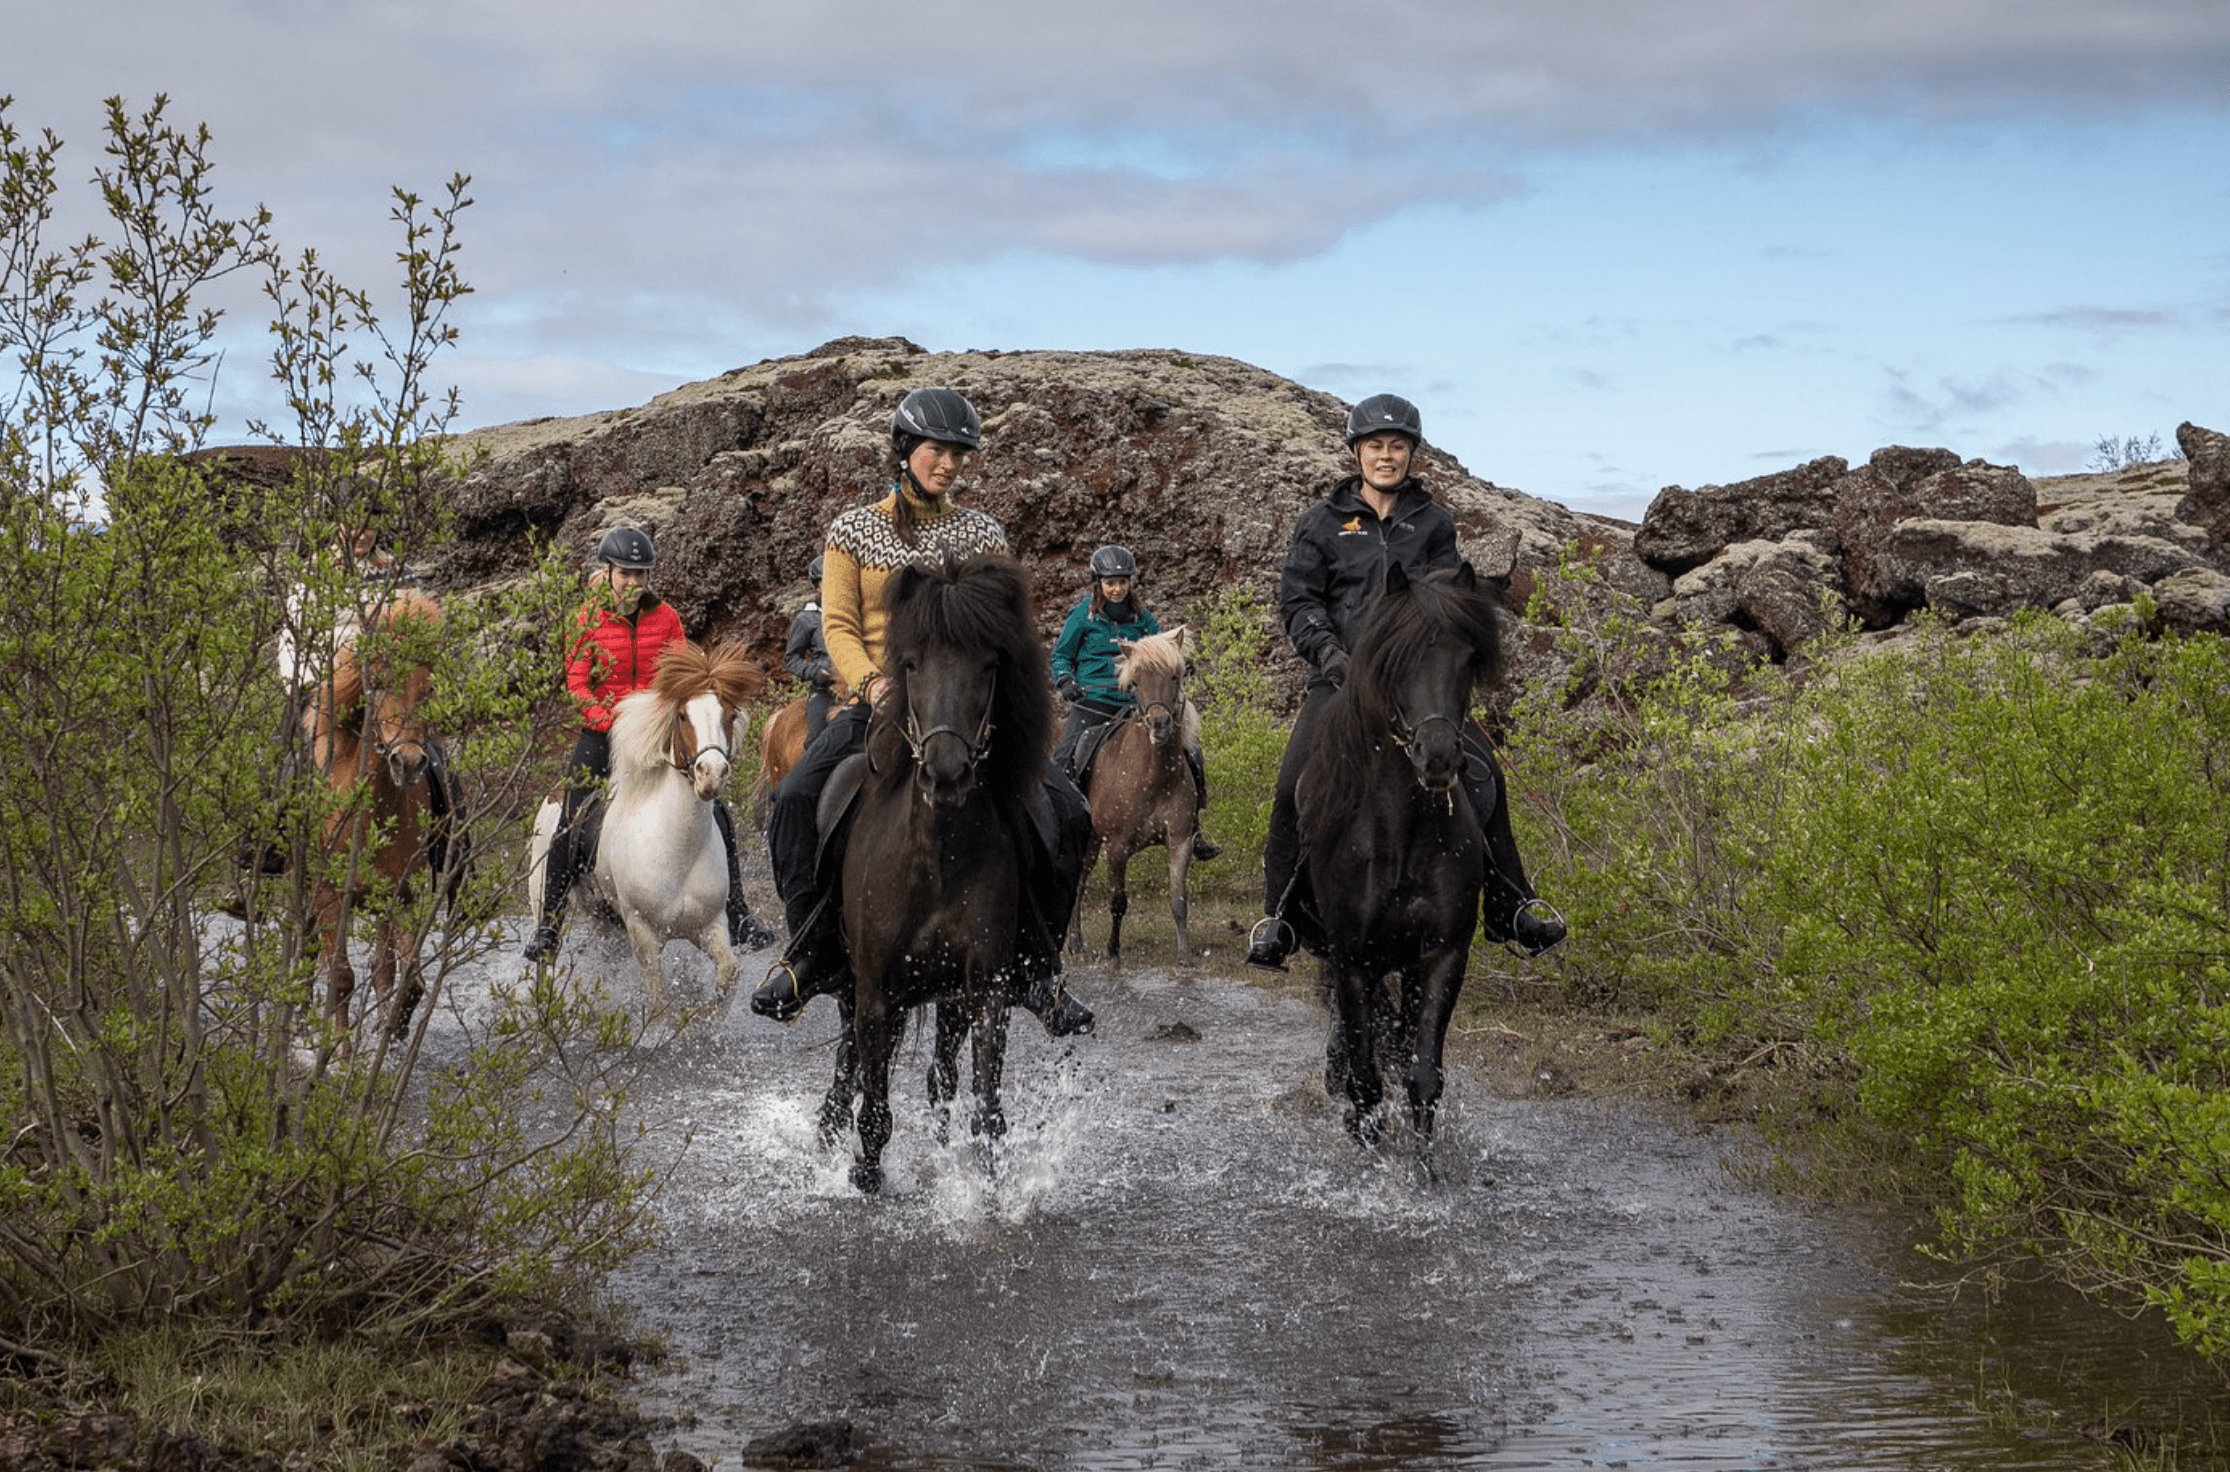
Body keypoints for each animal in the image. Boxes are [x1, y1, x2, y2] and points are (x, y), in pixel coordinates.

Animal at [305, 588, 446, 1042]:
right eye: (380, 684)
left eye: (427, 689)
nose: (409, 762)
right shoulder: (329, 896)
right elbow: (341, 977)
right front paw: (338, 1049)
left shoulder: (401, 893)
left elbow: (405, 977)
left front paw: (395, 1026)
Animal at [835, 553, 1056, 1194]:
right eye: (910, 664)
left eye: (990, 665)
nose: (946, 773)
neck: (936, 859)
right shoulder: (875, 994)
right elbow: (875, 1114)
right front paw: (863, 1178)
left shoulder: (986, 989)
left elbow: (985, 1109)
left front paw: (982, 1188)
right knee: (847, 1070)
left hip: (947, 996)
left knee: (941, 1079)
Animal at [1068, 625, 1201, 968]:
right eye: (1136, 682)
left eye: (1175, 676)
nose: (1159, 723)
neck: (1153, 777)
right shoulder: (1116, 847)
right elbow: (1118, 901)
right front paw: (1113, 952)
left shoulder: (1181, 840)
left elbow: (1179, 900)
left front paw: (1185, 956)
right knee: (1078, 884)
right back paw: (1075, 943)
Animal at [1297, 560, 1505, 1163]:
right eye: (1397, 659)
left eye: (1468, 659)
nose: (1436, 757)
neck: (1405, 837)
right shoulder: (1352, 958)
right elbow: (1367, 1079)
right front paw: (1369, 1159)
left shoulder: (1441, 955)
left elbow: (1423, 1073)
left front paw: (1426, 1170)